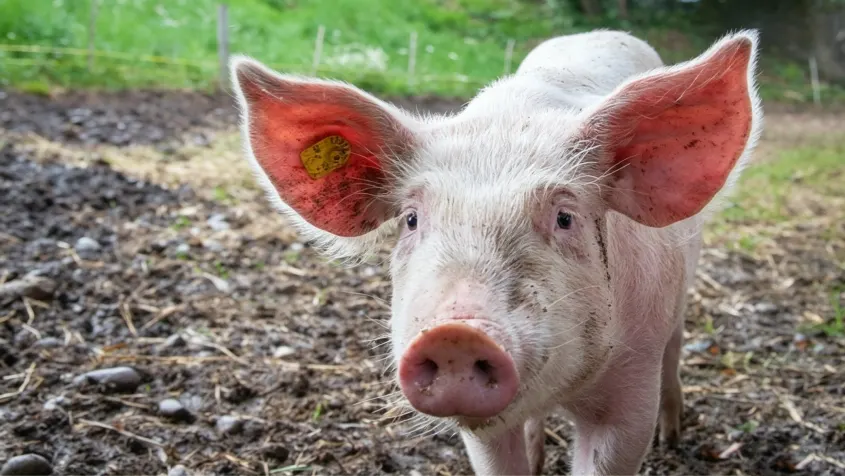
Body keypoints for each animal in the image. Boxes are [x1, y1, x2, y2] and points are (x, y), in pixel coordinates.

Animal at [229, 28, 762, 475]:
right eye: (411, 219)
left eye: (565, 217)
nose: (455, 335)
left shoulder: (630, 391)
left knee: (675, 347)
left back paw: (673, 437)